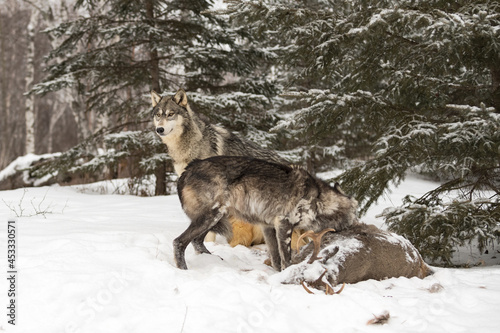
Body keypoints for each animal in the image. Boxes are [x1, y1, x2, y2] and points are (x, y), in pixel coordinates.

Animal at [174, 156, 358, 270]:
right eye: (356, 217)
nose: (358, 228)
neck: (318, 200)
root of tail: (187, 169)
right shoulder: (284, 225)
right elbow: (286, 260)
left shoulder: (269, 228)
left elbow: (276, 261)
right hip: (212, 217)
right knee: (179, 242)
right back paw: (184, 269)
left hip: (215, 219)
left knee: (196, 242)